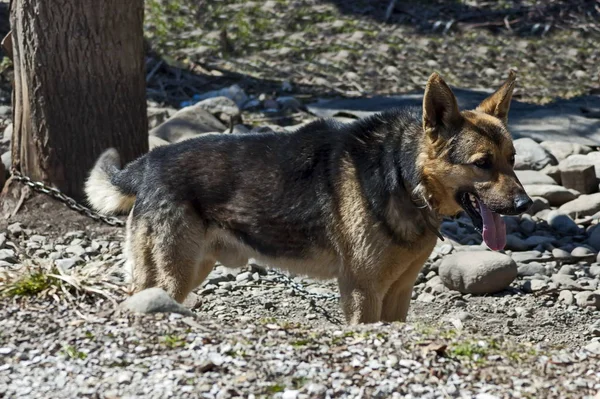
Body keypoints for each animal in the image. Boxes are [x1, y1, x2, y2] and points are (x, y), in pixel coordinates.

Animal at [83, 71, 528, 324]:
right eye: (482, 163)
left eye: (512, 159)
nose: (525, 205)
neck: (403, 177)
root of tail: (147, 162)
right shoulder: (363, 293)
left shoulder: (398, 295)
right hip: (170, 277)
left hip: (190, 270)